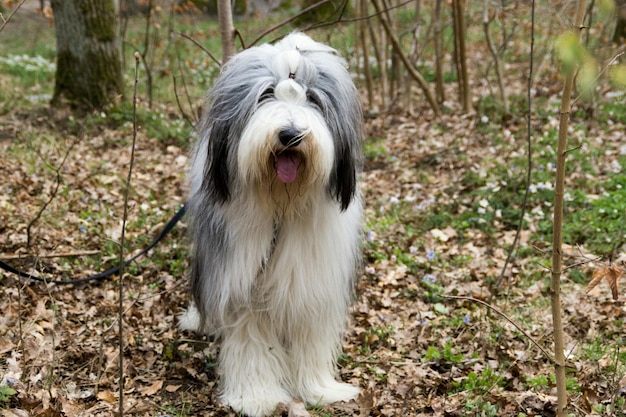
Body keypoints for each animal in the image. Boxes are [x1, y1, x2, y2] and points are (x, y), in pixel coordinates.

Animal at [178, 32, 360, 416]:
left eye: (312, 98)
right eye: (265, 94)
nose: (290, 134)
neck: (280, 206)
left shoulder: (311, 279)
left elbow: (310, 335)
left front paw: (319, 389)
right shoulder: (240, 278)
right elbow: (250, 337)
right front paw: (256, 396)